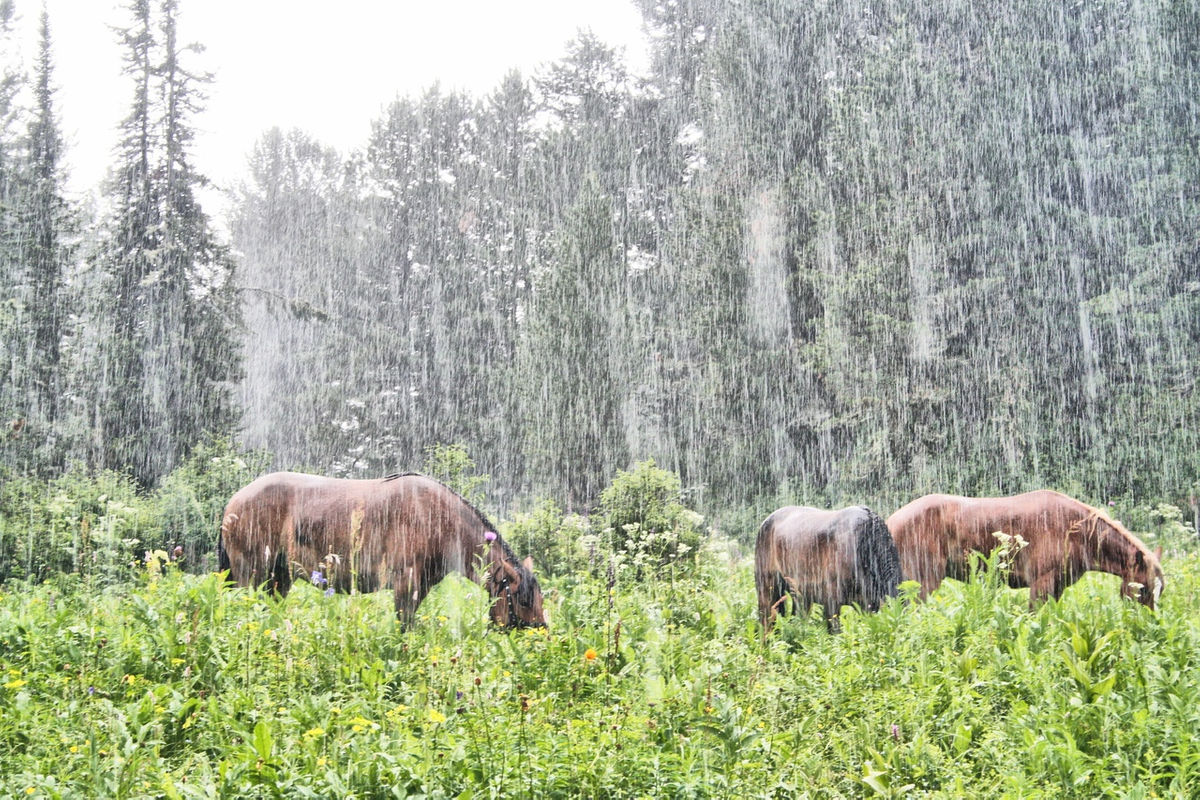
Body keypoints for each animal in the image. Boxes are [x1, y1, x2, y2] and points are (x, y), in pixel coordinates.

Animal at [218, 472, 547, 628]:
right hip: (251, 576)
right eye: (523, 600)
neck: (439, 519)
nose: (540, 632)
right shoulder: (406, 586)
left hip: (277, 580)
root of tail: (234, 501)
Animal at [883, 491, 1161, 609]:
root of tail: (890, 521)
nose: (1146, 625)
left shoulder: (1057, 588)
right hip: (922, 582)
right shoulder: (1041, 584)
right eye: (1144, 588)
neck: (1074, 530)